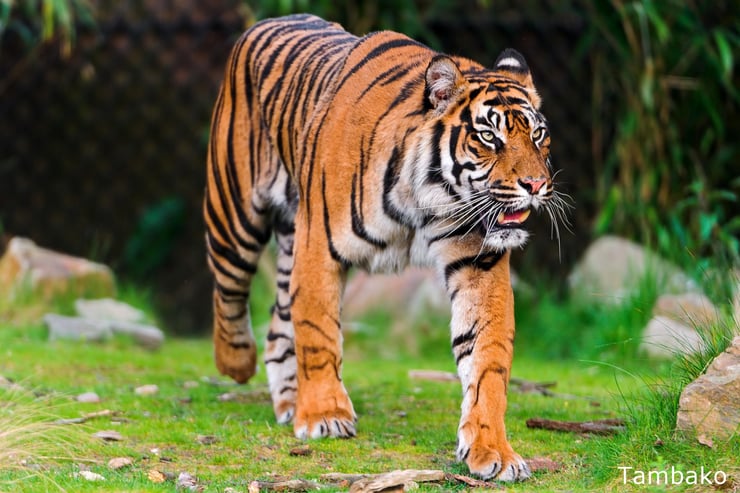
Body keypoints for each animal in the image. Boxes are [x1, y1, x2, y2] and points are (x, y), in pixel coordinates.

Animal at [204, 13, 564, 481]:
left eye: (538, 135)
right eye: (488, 137)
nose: (536, 185)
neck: (427, 200)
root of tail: (268, 21)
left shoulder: (478, 260)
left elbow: (488, 359)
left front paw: (492, 450)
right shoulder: (318, 245)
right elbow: (318, 331)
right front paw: (325, 415)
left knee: (279, 322)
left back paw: (289, 401)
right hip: (234, 214)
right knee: (228, 293)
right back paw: (238, 363)